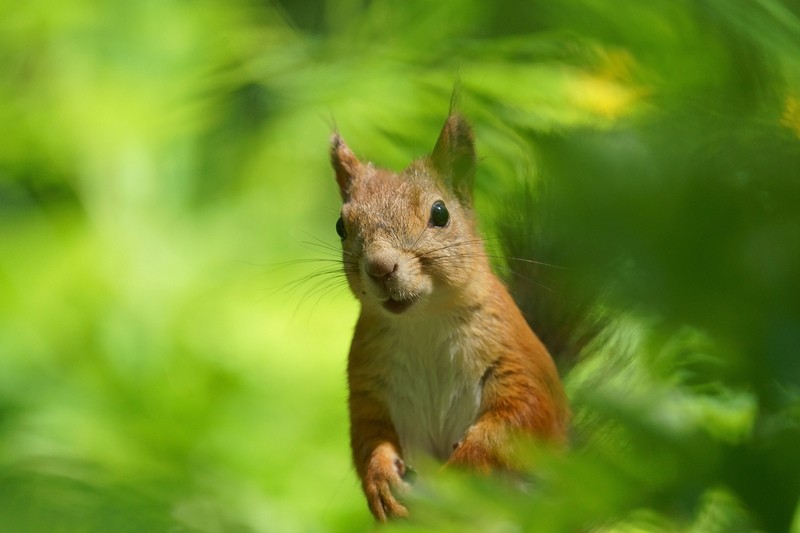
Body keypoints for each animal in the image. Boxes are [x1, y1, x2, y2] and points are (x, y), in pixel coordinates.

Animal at [330, 111, 568, 520]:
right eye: (340, 226)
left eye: (440, 214)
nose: (380, 267)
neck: (423, 320)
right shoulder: (367, 381)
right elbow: (367, 434)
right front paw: (380, 479)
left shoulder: (517, 357)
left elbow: (522, 414)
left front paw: (458, 474)